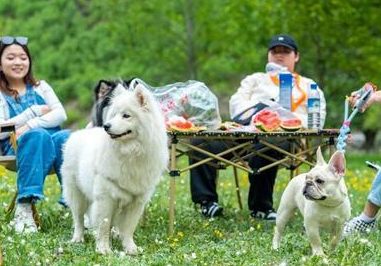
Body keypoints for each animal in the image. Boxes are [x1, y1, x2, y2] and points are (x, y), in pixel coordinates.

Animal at [62, 83, 168, 254]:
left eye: (126, 116)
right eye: (113, 115)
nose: (106, 126)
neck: (130, 152)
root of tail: (78, 133)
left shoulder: (136, 201)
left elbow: (128, 228)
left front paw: (130, 248)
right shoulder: (105, 198)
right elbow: (103, 226)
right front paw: (104, 249)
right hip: (76, 194)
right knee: (78, 219)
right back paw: (78, 239)